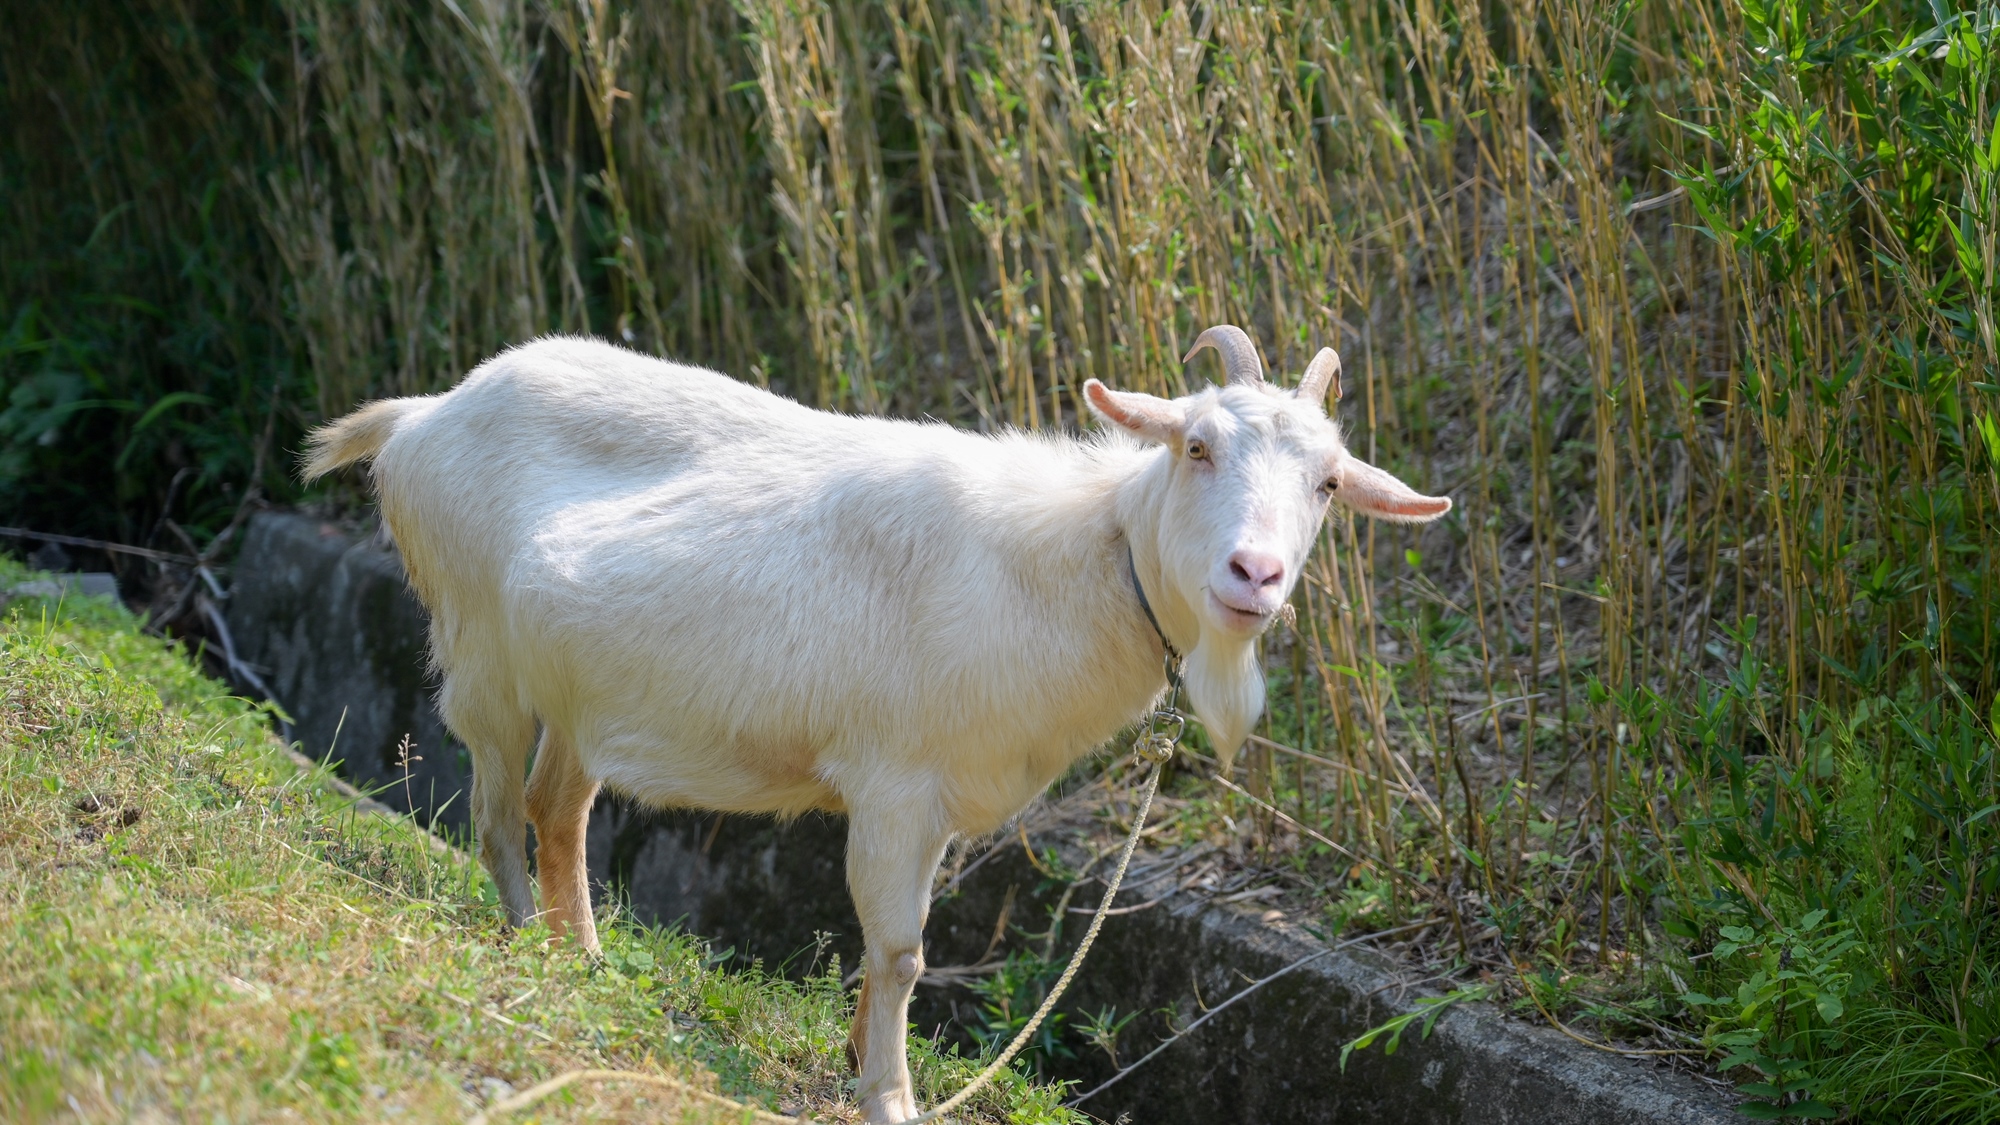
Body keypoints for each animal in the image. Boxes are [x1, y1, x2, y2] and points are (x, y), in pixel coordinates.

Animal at [304, 328, 1448, 1112]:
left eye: (1328, 482)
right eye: (1198, 445)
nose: (1253, 574)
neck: (1065, 563)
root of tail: (423, 414)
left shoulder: (934, 802)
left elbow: (889, 948)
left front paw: (861, 1058)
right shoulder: (895, 785)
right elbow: (901, 953)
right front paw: (888, 1098)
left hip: (585, 694)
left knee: (558, 809)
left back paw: (581, 957)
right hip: (482, 652)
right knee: (498, 808)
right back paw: (523, 949)